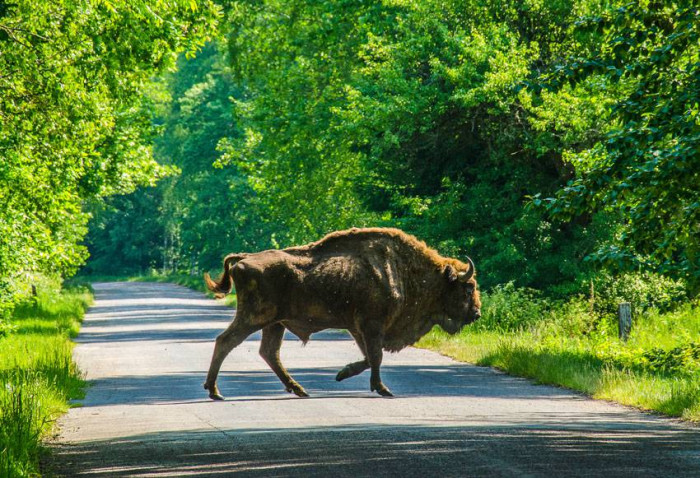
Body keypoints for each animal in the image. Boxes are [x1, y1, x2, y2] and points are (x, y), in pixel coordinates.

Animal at [202, 228, 482, 400]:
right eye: (468, 287)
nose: (477, 313)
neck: (401, 270)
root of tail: (243, 259)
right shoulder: (372, 325)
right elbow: (376, 356)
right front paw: (382, 388)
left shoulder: (359, 328)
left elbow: (369, 357)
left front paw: (342, 374)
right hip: (254, 318)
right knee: (226, 342)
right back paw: (214, 391)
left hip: (275, 323)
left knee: (269, 352)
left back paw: (300, 390)